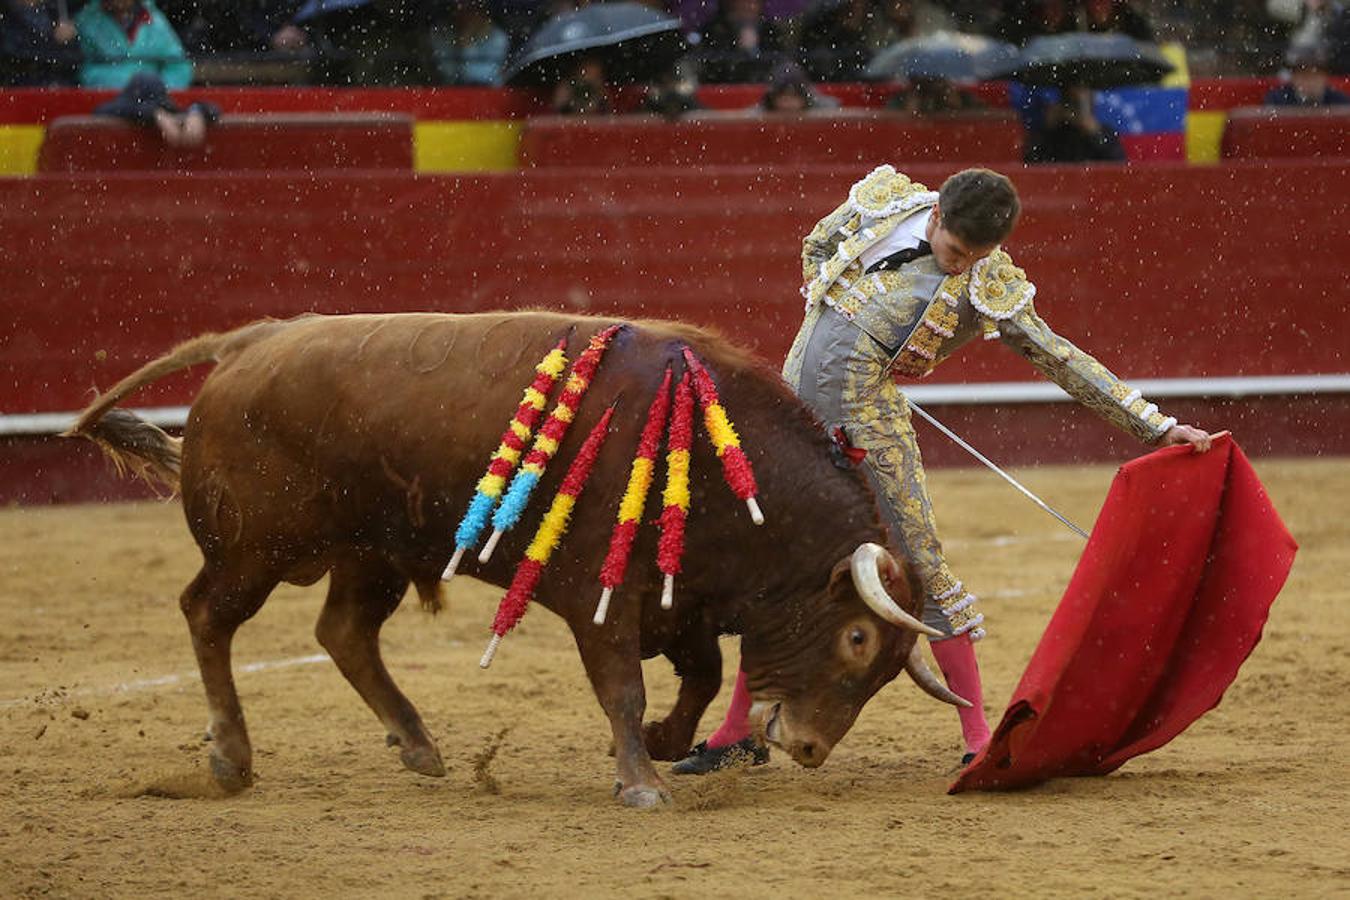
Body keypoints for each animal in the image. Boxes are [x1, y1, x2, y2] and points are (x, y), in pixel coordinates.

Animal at [71, 311, 961, 809]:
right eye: (856, 640)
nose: (810, 748)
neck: (722, 462)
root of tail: (250, 342)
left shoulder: (680, 601)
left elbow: (702, 675)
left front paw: (665, 743)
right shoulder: (602, 596)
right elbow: (624, 686)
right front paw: (641, 782)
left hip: (372, 551)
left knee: (344, 633)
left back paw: (419, 746)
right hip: (255, 549)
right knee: (207, 616)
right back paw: (231, 757)